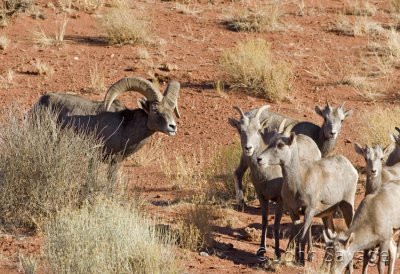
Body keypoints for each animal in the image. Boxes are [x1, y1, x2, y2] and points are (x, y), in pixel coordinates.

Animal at [227, 105, 320, 262]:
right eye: (240, 129)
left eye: (258, 130)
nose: (248, 148)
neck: (268, 172)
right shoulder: (262, 197)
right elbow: (265, 222)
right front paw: (261, 251)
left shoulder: (280, 200)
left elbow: (276, 225)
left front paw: (277, 253)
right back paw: (291, 251)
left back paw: (310, 254)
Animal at [258, 133, 358, 266]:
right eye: (270, 143)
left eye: (280, 145)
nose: (259, 159)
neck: (298, 182)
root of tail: (351, 167)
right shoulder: (293, 212)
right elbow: (296, 235)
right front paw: (295, 258)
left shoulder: (309, 211)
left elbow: (302, 237)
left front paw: (301, 261)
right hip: (327, 215)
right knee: (332, 235)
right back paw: (324, 265)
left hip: (347, 207)